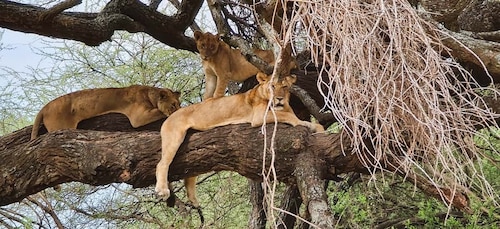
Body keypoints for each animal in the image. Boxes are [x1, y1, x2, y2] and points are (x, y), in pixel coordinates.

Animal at [30, 85, 182, 140]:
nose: (179, 108)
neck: (150, 94)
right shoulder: (138, 117)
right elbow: (159, 111)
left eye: (178, 103)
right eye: (173, 104)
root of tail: (45, 107)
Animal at [155, 72, 324, 207]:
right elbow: (288, 116)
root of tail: (169, 116)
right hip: (174, 137)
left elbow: (311, 123)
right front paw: (303, 123)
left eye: (285, 86)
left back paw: (194, 200)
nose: (280, 99)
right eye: (272, 86)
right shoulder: (259, 117)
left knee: (189, 172)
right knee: (162, 163)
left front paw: (320, 130)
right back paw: (162, 190)